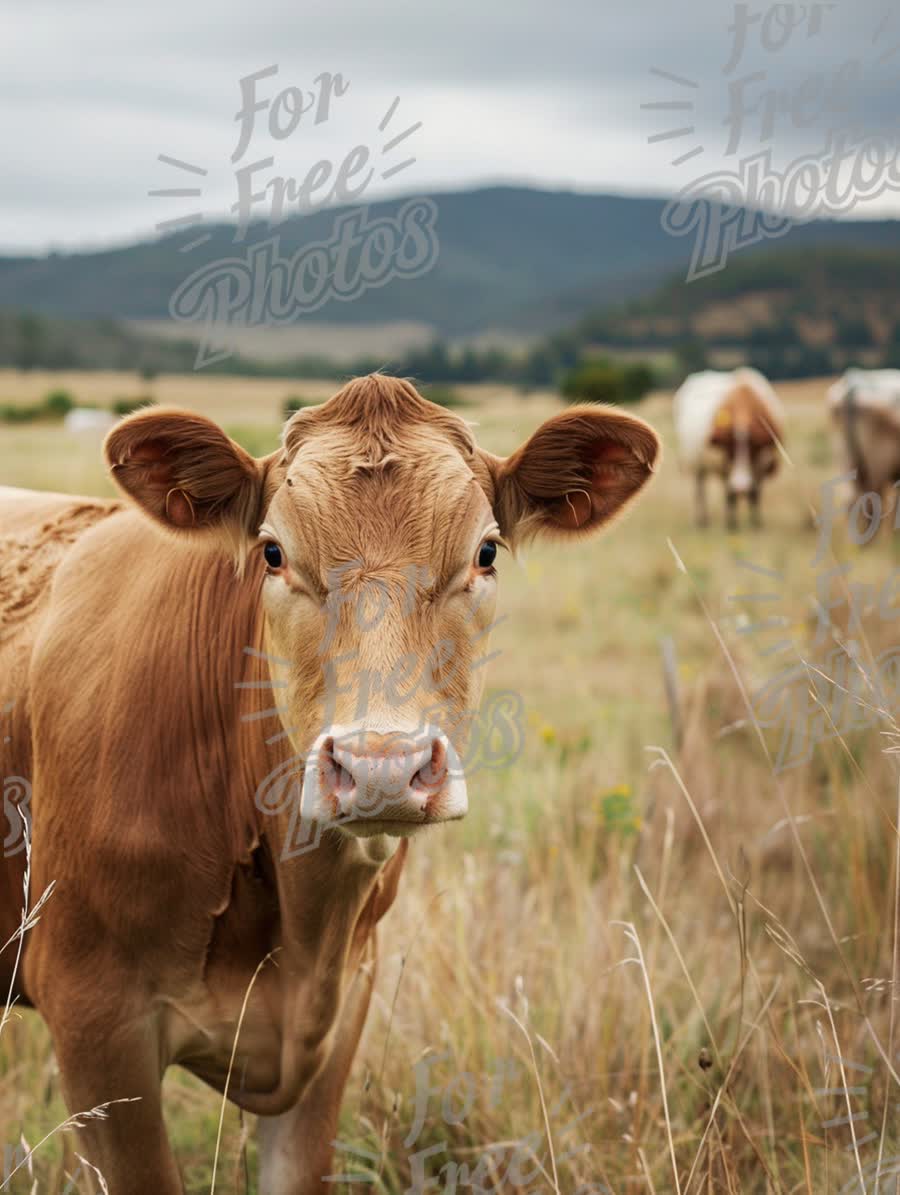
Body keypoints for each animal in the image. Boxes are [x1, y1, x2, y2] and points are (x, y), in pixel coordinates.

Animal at [669, 365, 784, 530]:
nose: (741, 487)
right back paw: (702, 520)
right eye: (730, 448)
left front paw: (756, 523)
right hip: (697, 464)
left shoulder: (762, 463)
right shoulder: (724, 466)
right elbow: (730, 496)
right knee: (700, 490)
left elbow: (755, 494)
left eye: (753, 447)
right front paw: (732, 524)